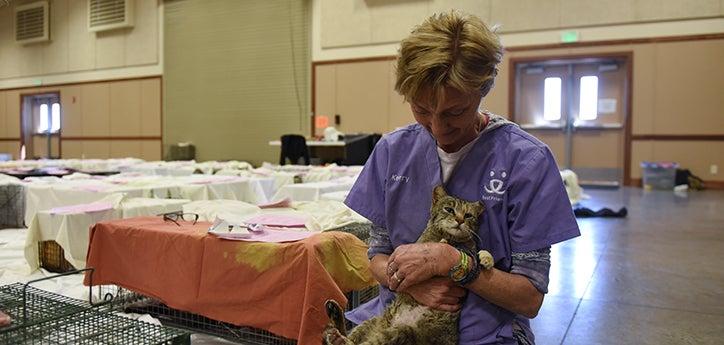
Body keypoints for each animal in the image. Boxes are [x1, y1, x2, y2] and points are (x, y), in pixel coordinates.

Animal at [326, 185, 494, 344]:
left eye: (468, 215)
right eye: (449, 209)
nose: (460, 220)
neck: (451, 238)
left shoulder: (468, 249)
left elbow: (473, 252)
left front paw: (487, 258)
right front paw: (443, 245)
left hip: (401, 332)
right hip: (377, 326)